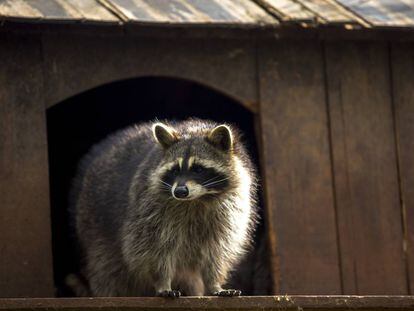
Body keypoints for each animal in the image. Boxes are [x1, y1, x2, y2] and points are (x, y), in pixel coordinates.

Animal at [71, 119, 258, 298]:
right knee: (106, 268)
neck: (195, 200)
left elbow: (215, 252)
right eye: (174, 170)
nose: (180, 191)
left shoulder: (228, 214)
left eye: (198, 169)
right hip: (94, 226)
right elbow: (154, 249)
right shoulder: (148, 210)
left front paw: (214, 283)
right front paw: (163, 282)